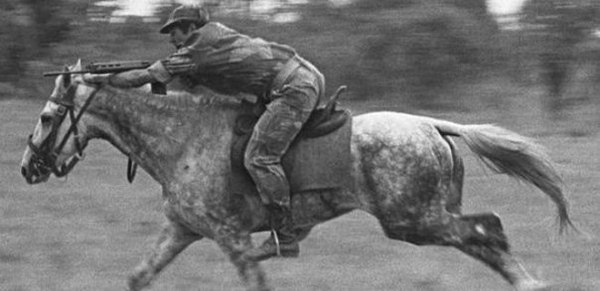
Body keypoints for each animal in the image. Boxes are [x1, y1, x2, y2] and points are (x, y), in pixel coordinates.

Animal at [21, 60, 576, 290]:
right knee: (483, 238)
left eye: (47, 117)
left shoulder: (228, 237)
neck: (180, 138)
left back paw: (530, 282)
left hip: (414, 220)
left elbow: (256, 277)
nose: (28, 168)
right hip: (427, 216)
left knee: (489, 230)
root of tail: (434, 125)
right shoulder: (182, 230)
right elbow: (140, 276)